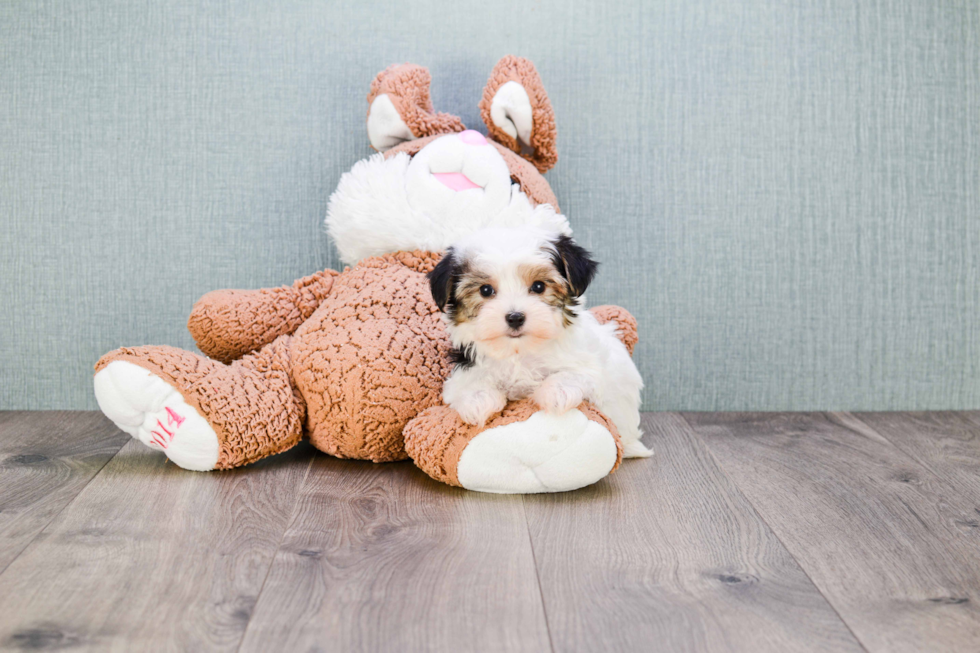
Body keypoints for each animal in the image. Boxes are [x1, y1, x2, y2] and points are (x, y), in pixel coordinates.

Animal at [426, 224, 652, 458]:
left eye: (538, 286)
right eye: (485, 290)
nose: (515, 317)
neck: (519, 351)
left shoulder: (590, 366)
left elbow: (574, 374)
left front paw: (557, 393)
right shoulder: (464, 370)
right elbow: (467, 384)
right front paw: (478, 401)